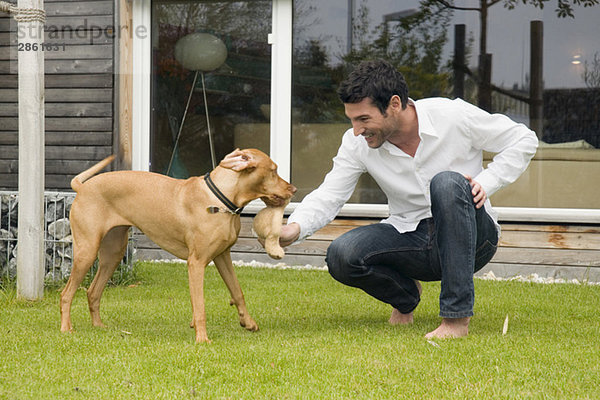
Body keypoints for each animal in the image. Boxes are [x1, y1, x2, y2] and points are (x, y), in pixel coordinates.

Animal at [59, 148, 296, 342]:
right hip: (87, 252)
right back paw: (66, 328)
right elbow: (200, 305)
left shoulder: (223, 256)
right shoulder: (196, 263)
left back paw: (98, 326)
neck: (220, 199)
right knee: (66, 293)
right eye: (273, 170)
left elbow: (237, 291)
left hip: (112, 254)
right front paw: (202, 338)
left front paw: (248, 322)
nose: (293, 189)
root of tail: (82, 187)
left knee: (92, 292)